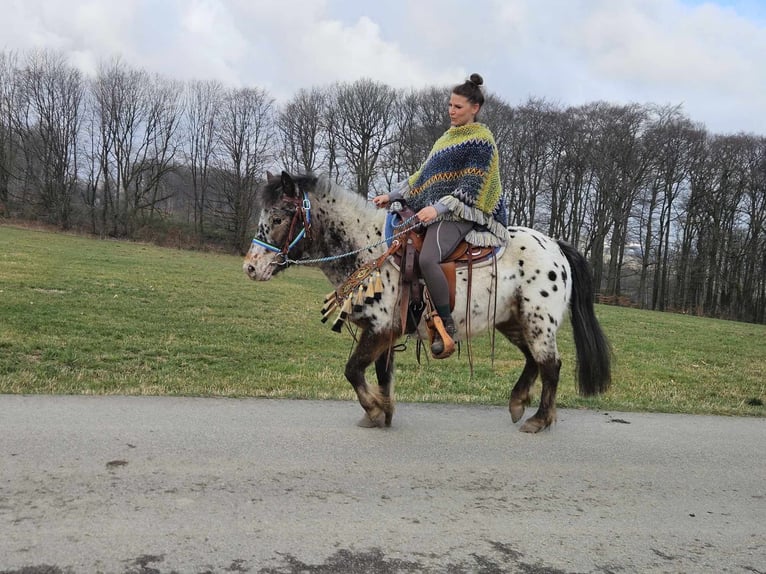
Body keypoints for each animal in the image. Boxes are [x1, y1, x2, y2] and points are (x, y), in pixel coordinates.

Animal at [243, 173, 616, 434]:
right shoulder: (385, 334)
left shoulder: (381, 329)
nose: (250, 267)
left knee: (551, 365)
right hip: (513, 320)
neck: (371, 248)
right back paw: (517, 402)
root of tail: (555, 245)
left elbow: (353, 370)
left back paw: (539, 419)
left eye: (279, 217)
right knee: (533, 360)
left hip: (538, 322)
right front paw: (383, 411)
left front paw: (375, 409)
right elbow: (381, 374)